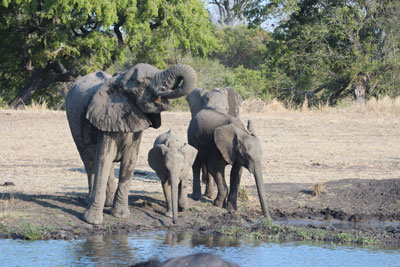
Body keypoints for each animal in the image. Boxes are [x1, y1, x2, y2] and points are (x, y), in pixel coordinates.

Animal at [66, 63, 197, 225]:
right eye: (143, 81)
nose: (164, 90)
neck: (120, 80)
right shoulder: (106, 116)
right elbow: (104, 158)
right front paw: (92, 221)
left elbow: (130, 160)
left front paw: (120, 215)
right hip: (74, 122)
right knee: (88, 159)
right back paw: (88, 201)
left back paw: (108, 204)